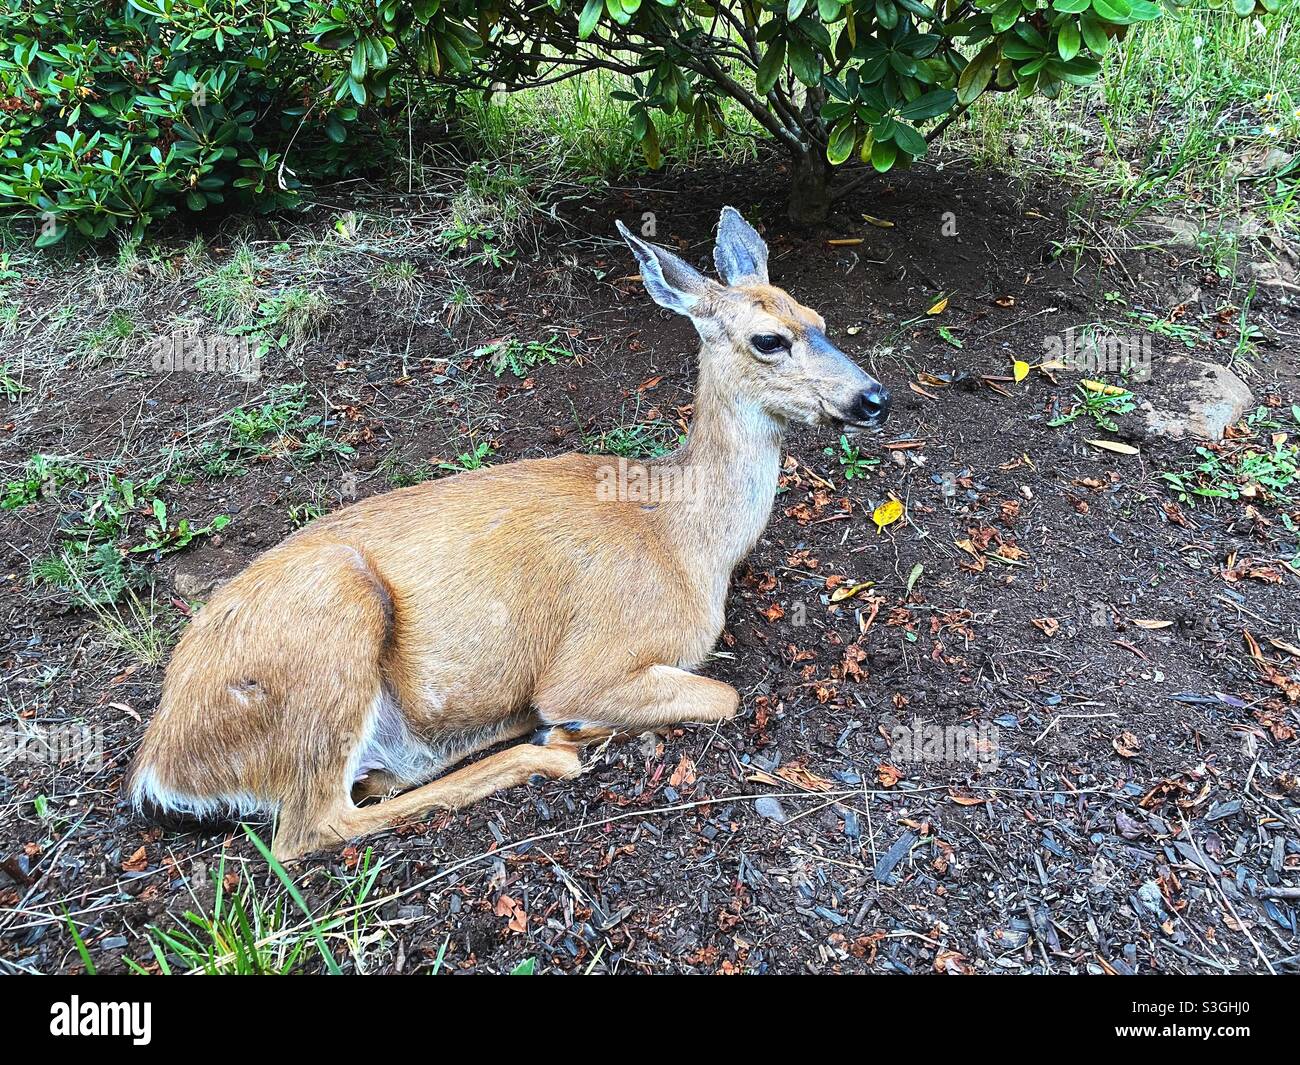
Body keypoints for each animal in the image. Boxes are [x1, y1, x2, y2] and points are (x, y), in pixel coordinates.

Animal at [126, 206, 889, 858]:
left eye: (819, 317)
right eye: (769, 339)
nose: (873, 397)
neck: (686, 536)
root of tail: (159, 765)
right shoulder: (596, 656)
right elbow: (724, 695)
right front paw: (571, 722)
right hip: (333, 616)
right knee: (312, 825)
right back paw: (547, 747)